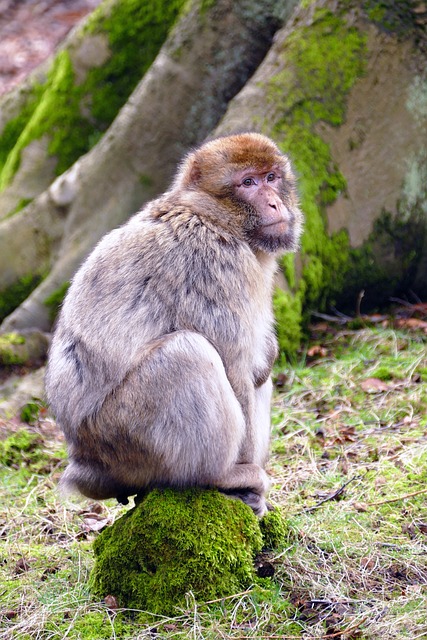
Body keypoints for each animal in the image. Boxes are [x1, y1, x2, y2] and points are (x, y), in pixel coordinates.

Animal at [45, 132, 302, 516]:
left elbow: (257, 363)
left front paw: (269, 351)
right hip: (126, 435)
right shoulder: (216, 265)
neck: (212, 216)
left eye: (271, 177)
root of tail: (83, 461)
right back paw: (223, 475)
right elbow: (235, 368)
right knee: (187, 352)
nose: (273, 203)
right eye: (248, 183)